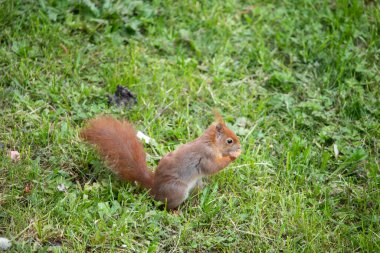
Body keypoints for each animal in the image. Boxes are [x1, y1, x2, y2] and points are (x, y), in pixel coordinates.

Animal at [80, 113, 240, 209]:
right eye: (229, 141)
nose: (240, 146)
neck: (210, 142)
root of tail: (154, 188)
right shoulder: (205, 155)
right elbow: (212, 167)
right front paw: (233, 156)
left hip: (195, 183)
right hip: (178, 190)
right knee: (166, 206)